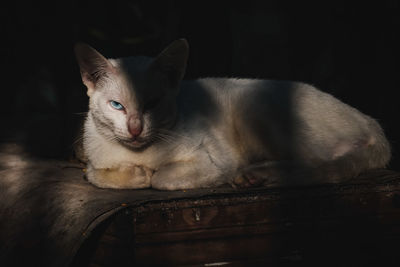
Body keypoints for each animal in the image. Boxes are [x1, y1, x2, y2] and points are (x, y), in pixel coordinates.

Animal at [74, 39, 390, 191]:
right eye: (117, 105)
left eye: (152, 103)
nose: (136, 129)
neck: (140, 154)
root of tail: (370, 121)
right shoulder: (92, 157)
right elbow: (95, 174)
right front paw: (134, 174)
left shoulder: (215, 159)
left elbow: (163, 179)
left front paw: (148, 174)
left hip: (256, 104)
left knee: (316, 167)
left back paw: (256, 175)